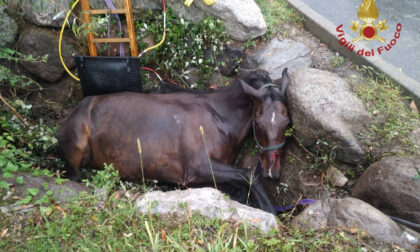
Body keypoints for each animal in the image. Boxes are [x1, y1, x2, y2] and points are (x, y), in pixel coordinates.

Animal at [57, 69, 290, 213]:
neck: (220, 116)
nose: (271, 171)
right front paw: (269, 209)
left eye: (287, 123)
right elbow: (248, 175)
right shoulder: (196, 169)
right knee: (74, 175)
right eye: (258, 122)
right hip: (77, 146)